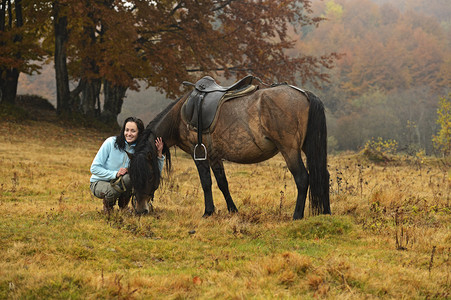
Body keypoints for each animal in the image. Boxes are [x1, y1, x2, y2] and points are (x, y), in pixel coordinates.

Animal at [129, 77, 330, 219]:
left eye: (148, 176)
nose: (140, 210)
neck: (180, 116)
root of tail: (305, 93)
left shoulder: (198, 154)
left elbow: (206, 183)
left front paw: (208, 212)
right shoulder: (214, 156)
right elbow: (222, 183)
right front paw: (233, 210)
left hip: (289, 150)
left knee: (302, 178)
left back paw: (297, 216)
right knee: (323, 175)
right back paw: (326, 212)